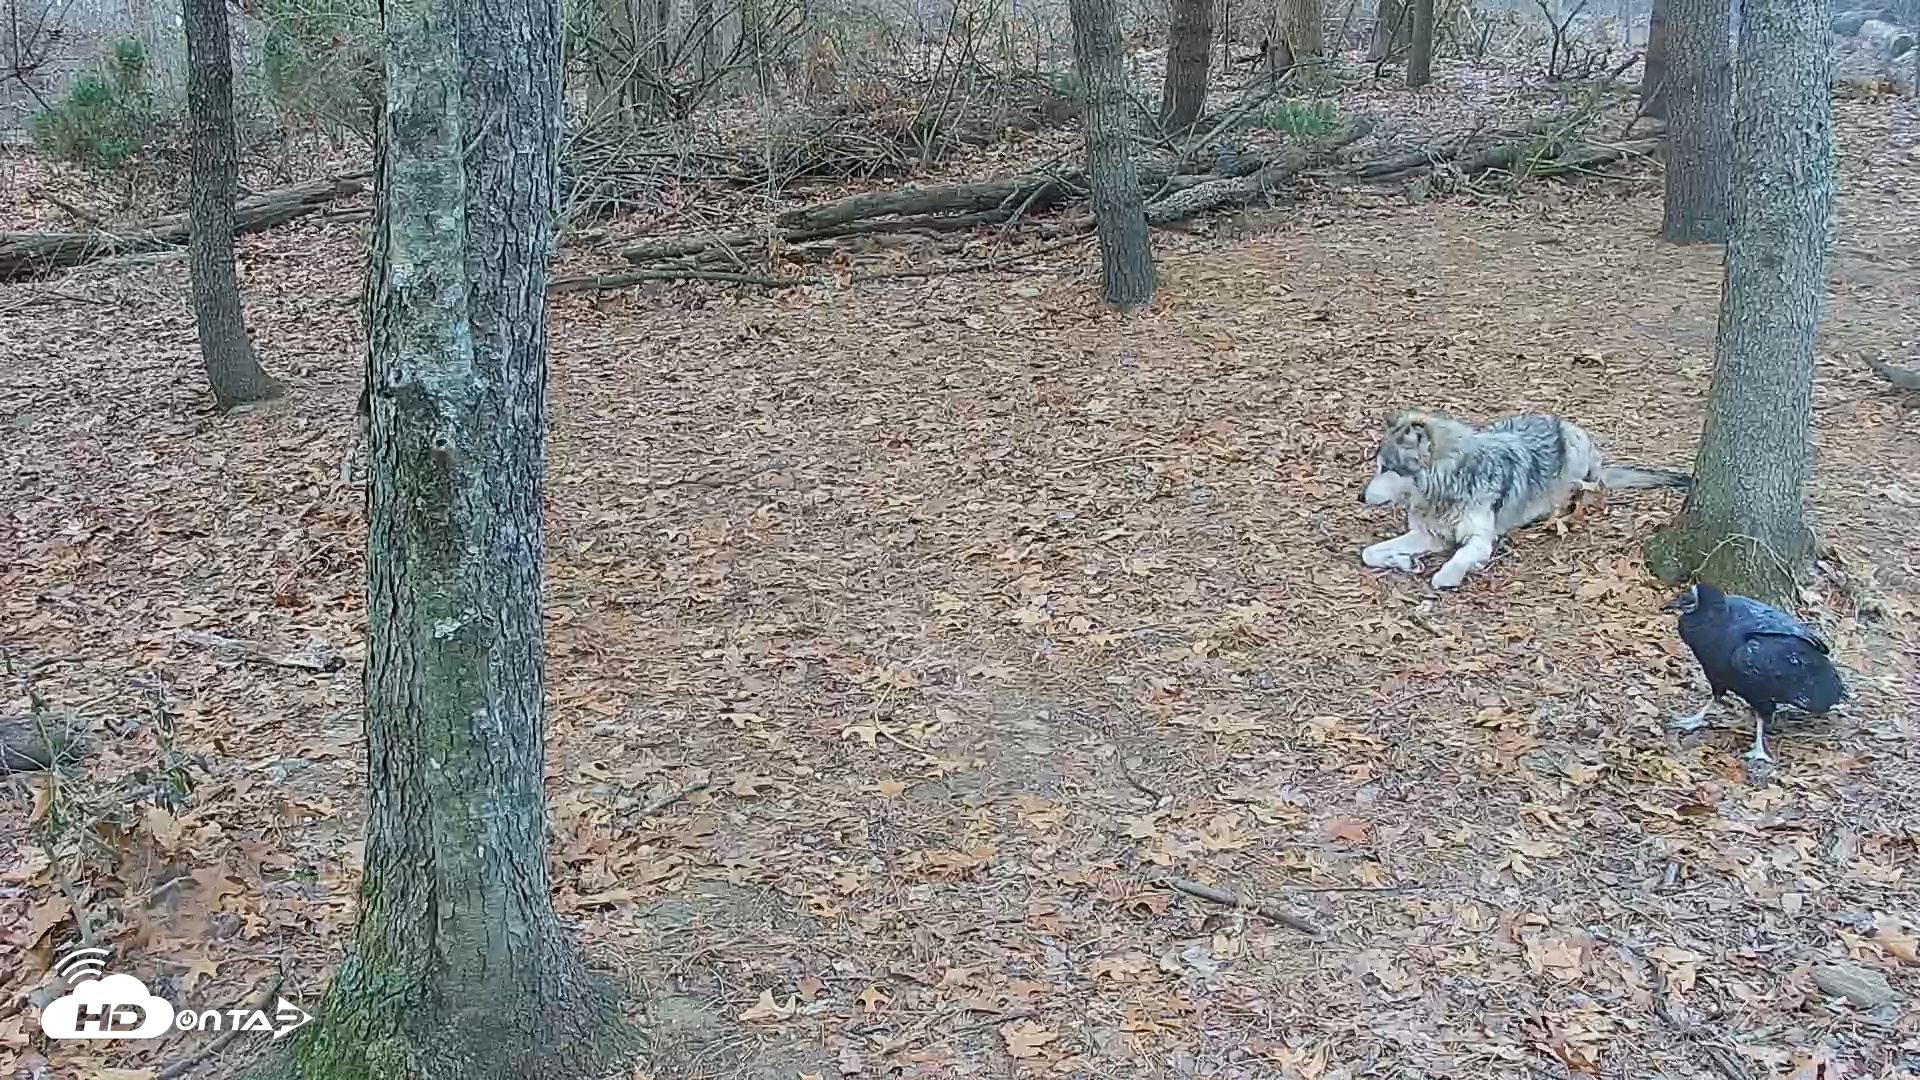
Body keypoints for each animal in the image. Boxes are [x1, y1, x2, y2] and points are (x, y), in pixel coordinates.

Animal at [1357, 408, 1690, 590]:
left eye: (1386, 468)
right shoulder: (1429, 535)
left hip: (1576, 454)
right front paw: (1404, 561)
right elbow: (1369, 553)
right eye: (1377, 465)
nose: (1360, 496)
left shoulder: (1480, 539)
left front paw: (1448, 575)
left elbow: (1461, 556)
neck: (1447, 485)